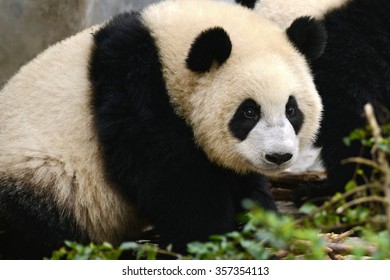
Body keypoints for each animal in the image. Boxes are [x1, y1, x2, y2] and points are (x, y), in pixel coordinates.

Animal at [0, 0, 324, 258]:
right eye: (248, 112)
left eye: (291, 109)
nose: (278, 156)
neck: (165, 51)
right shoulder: (133, 86)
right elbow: (168, 171)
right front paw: (209, 237)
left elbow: (233, 175)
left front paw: (257, 219)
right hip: (40, 175)